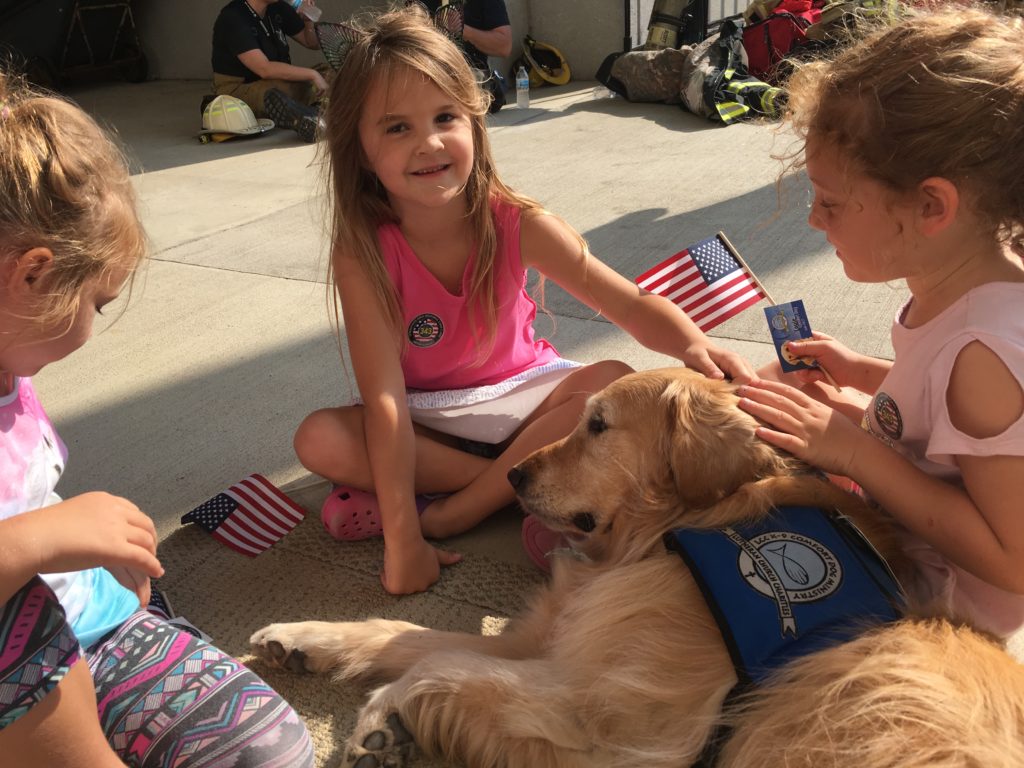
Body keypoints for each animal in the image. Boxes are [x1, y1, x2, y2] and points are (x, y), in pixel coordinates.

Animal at [249, 370, 1024, 765]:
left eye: (597, 425)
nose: (515, 476)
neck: (673, 532)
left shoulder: (614, 715)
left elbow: (444, 665)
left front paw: (387, 714)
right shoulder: (554, 638)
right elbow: (405, 633)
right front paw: (303, 639)